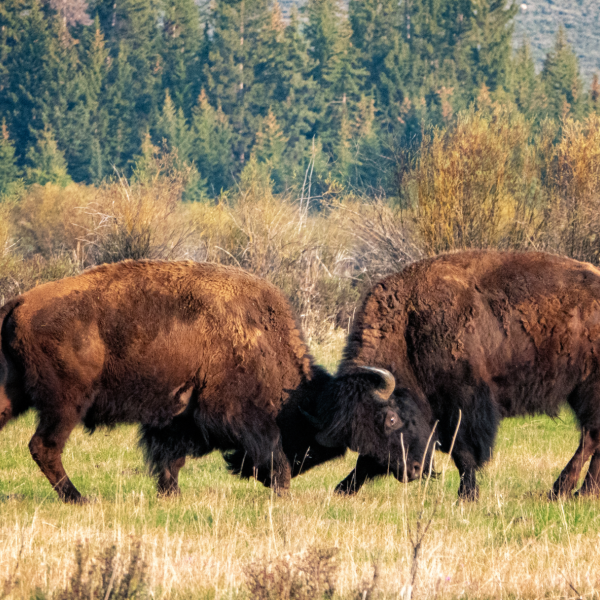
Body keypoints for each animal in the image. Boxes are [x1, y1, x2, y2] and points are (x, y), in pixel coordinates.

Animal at [1, 262, 432, 502]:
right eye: (391, 420)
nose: (417, 470)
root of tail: (18, 303)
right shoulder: (238, 418)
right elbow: (273, 455)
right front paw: (283, 493)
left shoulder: (177, 419)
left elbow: (169, 459)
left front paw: (170, 494)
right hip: (66, 403)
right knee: (45, 446)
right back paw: (78, 498)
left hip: (13, 392)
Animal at [336, 251, 600, 500]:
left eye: (391, 419)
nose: (410, 472)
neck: (408, 328)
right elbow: (366, 460)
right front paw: (342, 488)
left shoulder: (463, 405)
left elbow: (463, 452)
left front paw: (467, 495)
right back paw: (585, 492)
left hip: (586, 390)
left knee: (590, 437)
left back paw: (562, 490)